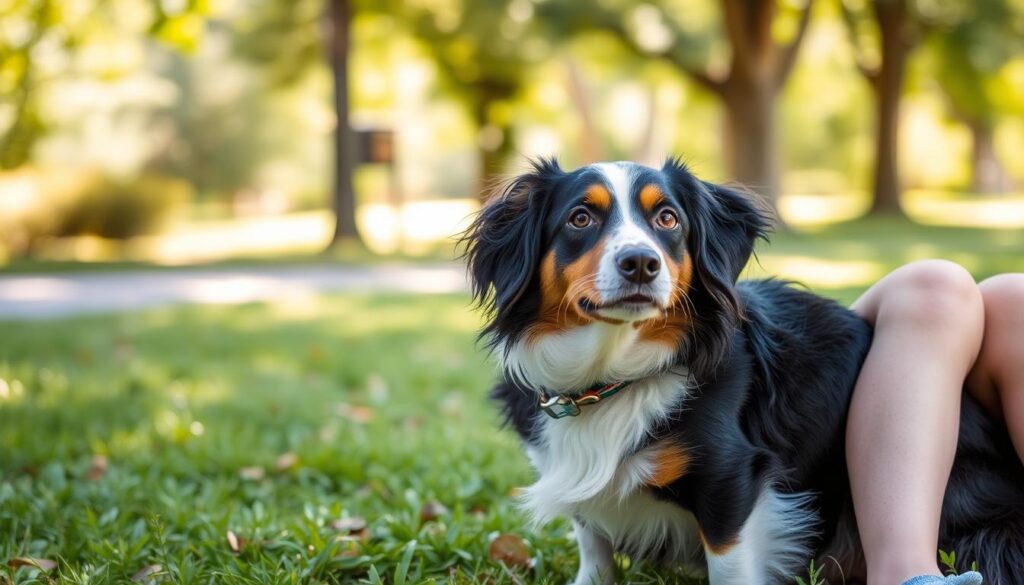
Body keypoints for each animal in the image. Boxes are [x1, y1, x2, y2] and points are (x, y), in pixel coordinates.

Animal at [462, 158, 1024, 585]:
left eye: (668, 219)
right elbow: (594, 547)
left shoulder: (732, 480)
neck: (612, 374)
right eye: (580, 218)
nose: (641, 263)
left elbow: (729, 565)